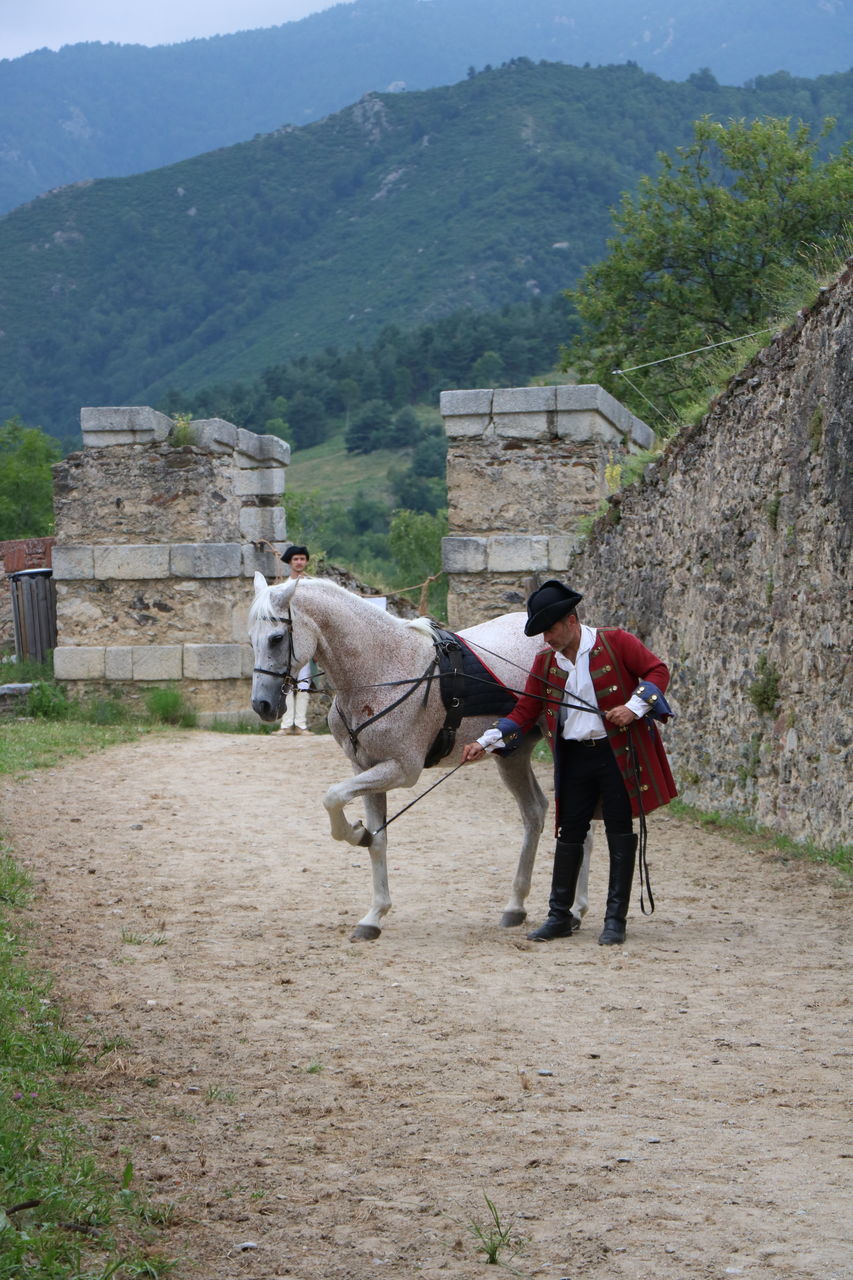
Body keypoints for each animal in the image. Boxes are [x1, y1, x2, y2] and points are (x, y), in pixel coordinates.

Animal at [249, 576, 589, 947]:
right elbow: (377, 838)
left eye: (277, 638)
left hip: (561, 746)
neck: (383, 668)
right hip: (511, 755)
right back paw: (516, 905)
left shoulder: (401, 770)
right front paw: (374, 915)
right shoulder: (364, 768)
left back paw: (575, 910)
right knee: (534, 813)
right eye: (251, 638)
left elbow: (333, 797)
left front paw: (355, 832)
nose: (262, 705)